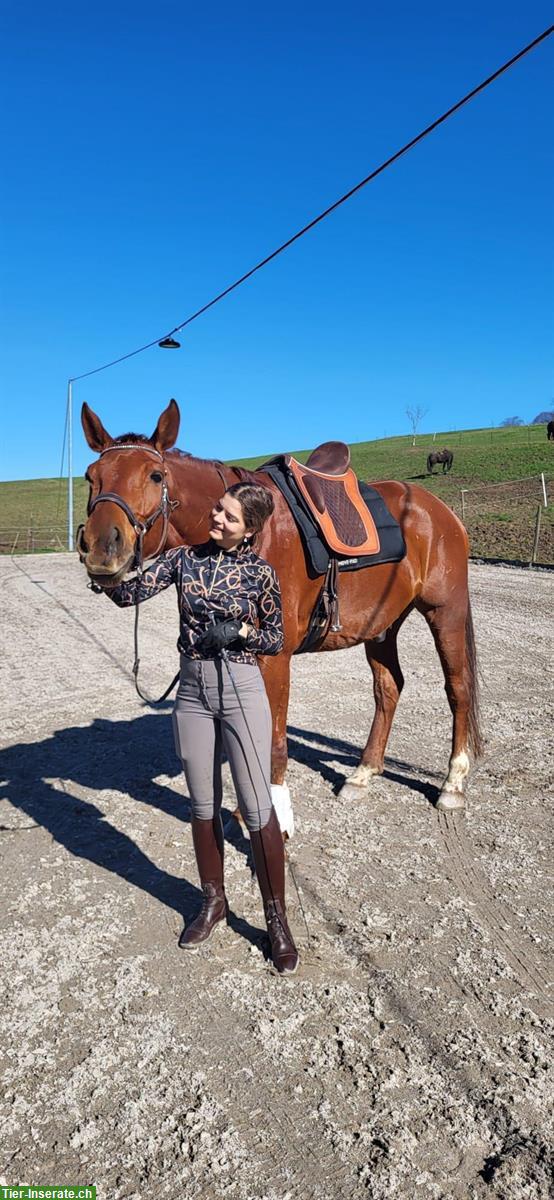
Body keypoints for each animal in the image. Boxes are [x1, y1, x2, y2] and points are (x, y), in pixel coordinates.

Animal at [76, 398, 479, 811]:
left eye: (156, 476)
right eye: (91, 476)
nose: (102, 548)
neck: (249, 536)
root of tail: (441, 512)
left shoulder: (275, 656)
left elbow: (271, 745)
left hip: (445, 611)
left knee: (458, 688)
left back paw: (453, 782)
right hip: (382, 624)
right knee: (388, 688)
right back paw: (363, 773)